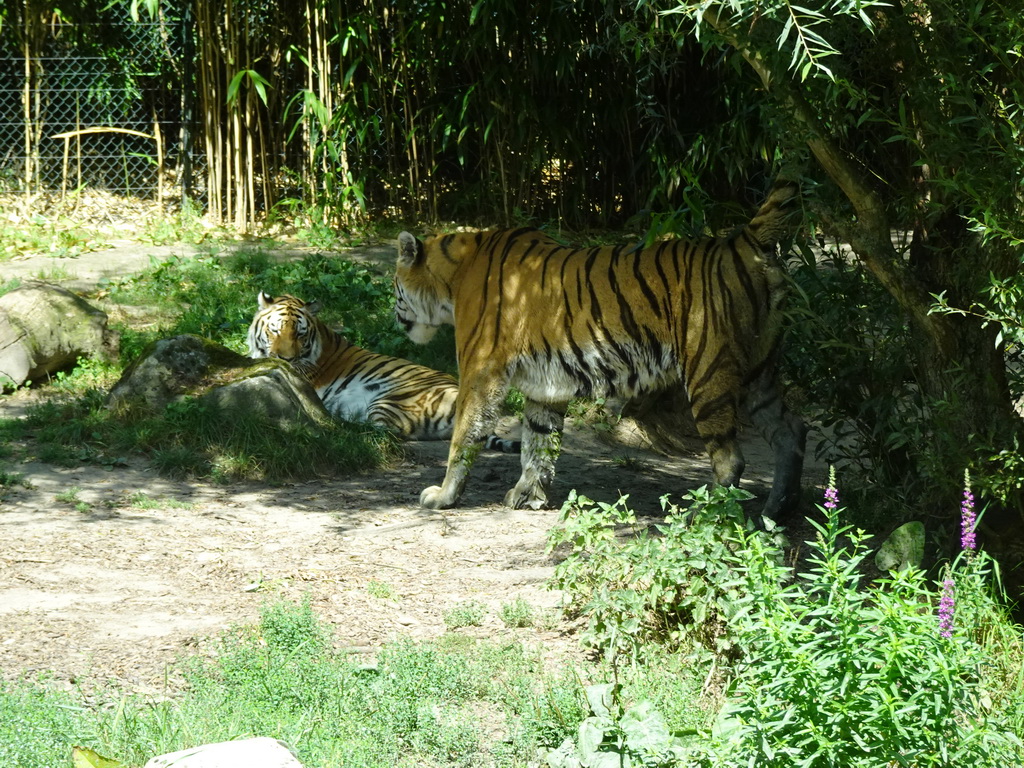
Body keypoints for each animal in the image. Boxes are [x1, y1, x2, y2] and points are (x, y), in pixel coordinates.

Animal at [245, 290, 520, 454]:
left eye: (300, 334)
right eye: (275, 330)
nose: (286, 359)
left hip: (391, 400)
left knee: (384, 433)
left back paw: (338, 422)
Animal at [391, 179, 806, 524]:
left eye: (395, 286)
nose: (396, 317)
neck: (452, 279)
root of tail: (743, 240)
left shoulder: (480, 370)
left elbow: (464, 435)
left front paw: (443, 496)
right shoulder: (546, 384)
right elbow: (538, 441)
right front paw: (527, 495)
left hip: (708, 369)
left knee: (731, 460)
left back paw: (701, 518)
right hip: (759, 371)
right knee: (791, 435)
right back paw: (776, 512)